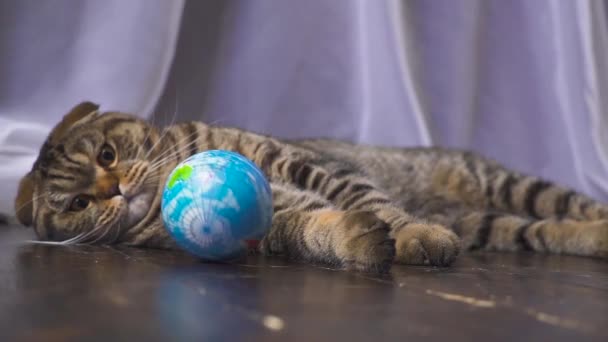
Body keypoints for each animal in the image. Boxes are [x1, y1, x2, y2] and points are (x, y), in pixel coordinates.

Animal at [13, 100, 608, 272]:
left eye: (107, 155)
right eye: (79, 203)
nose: (114, 191)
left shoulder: (307, 164)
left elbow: (374, 200)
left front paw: (413, 232)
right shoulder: (271, 225)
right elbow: (315, 230)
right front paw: (354, 240)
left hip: (509, 185)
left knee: (575, 204)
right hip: (494, 223)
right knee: (546, 230)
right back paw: (591, 239)